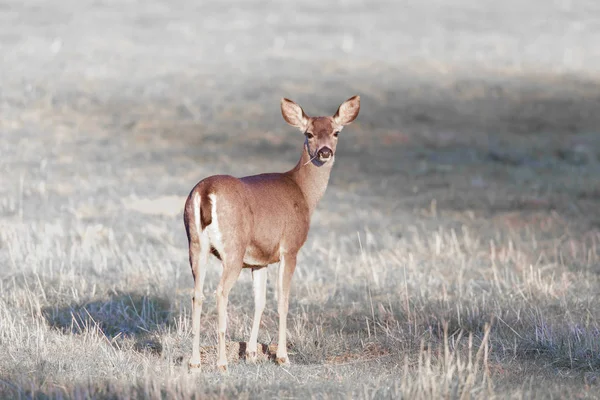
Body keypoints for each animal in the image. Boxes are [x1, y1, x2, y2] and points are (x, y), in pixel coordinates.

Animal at [183, 94, 360, 372]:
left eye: (336, 132)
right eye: (309, 133)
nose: (325, 151)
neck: (304, 193)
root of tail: (206, 191)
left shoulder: (259, 260)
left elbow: (260, 301)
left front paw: (252, 353)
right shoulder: (290, 248)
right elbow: (282, 301)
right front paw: (282, 356)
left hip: (195, 244)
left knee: (197, 293)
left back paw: (195, 362)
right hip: (233, 248)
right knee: (220, 292)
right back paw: (222, 363)